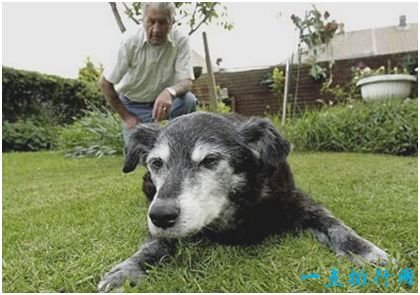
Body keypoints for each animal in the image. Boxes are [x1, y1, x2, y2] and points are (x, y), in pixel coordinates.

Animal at [97, 112, 388, 292]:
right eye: (157, 163)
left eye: (210, 160)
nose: (160, 215)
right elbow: (154, 244)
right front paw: (127, 269)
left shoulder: (296, 201)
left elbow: (333, 223)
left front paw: (361, 248)